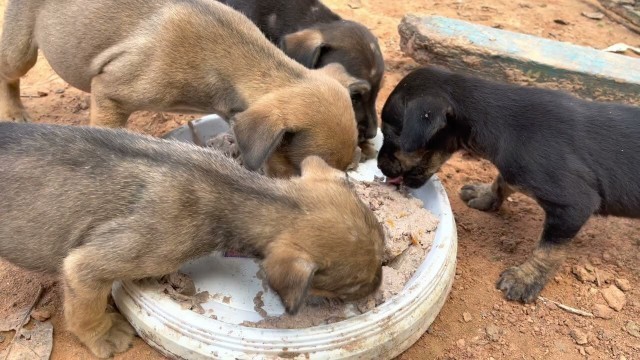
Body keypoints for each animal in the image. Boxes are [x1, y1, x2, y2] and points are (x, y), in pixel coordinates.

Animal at [0, 123, 384, 358]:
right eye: (352, 286)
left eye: (382, 247)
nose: (379, 289)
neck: (232, 190)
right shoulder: (88, 265)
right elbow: (85, 309)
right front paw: (104, 336)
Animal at [378, 66, 640, 302]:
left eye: (390, 134)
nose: (379, 165)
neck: (498, 119)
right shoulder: (512, 170)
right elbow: (502, 181)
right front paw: (484, 196)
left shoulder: (574, 205)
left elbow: (548, 250)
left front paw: (525, 279)